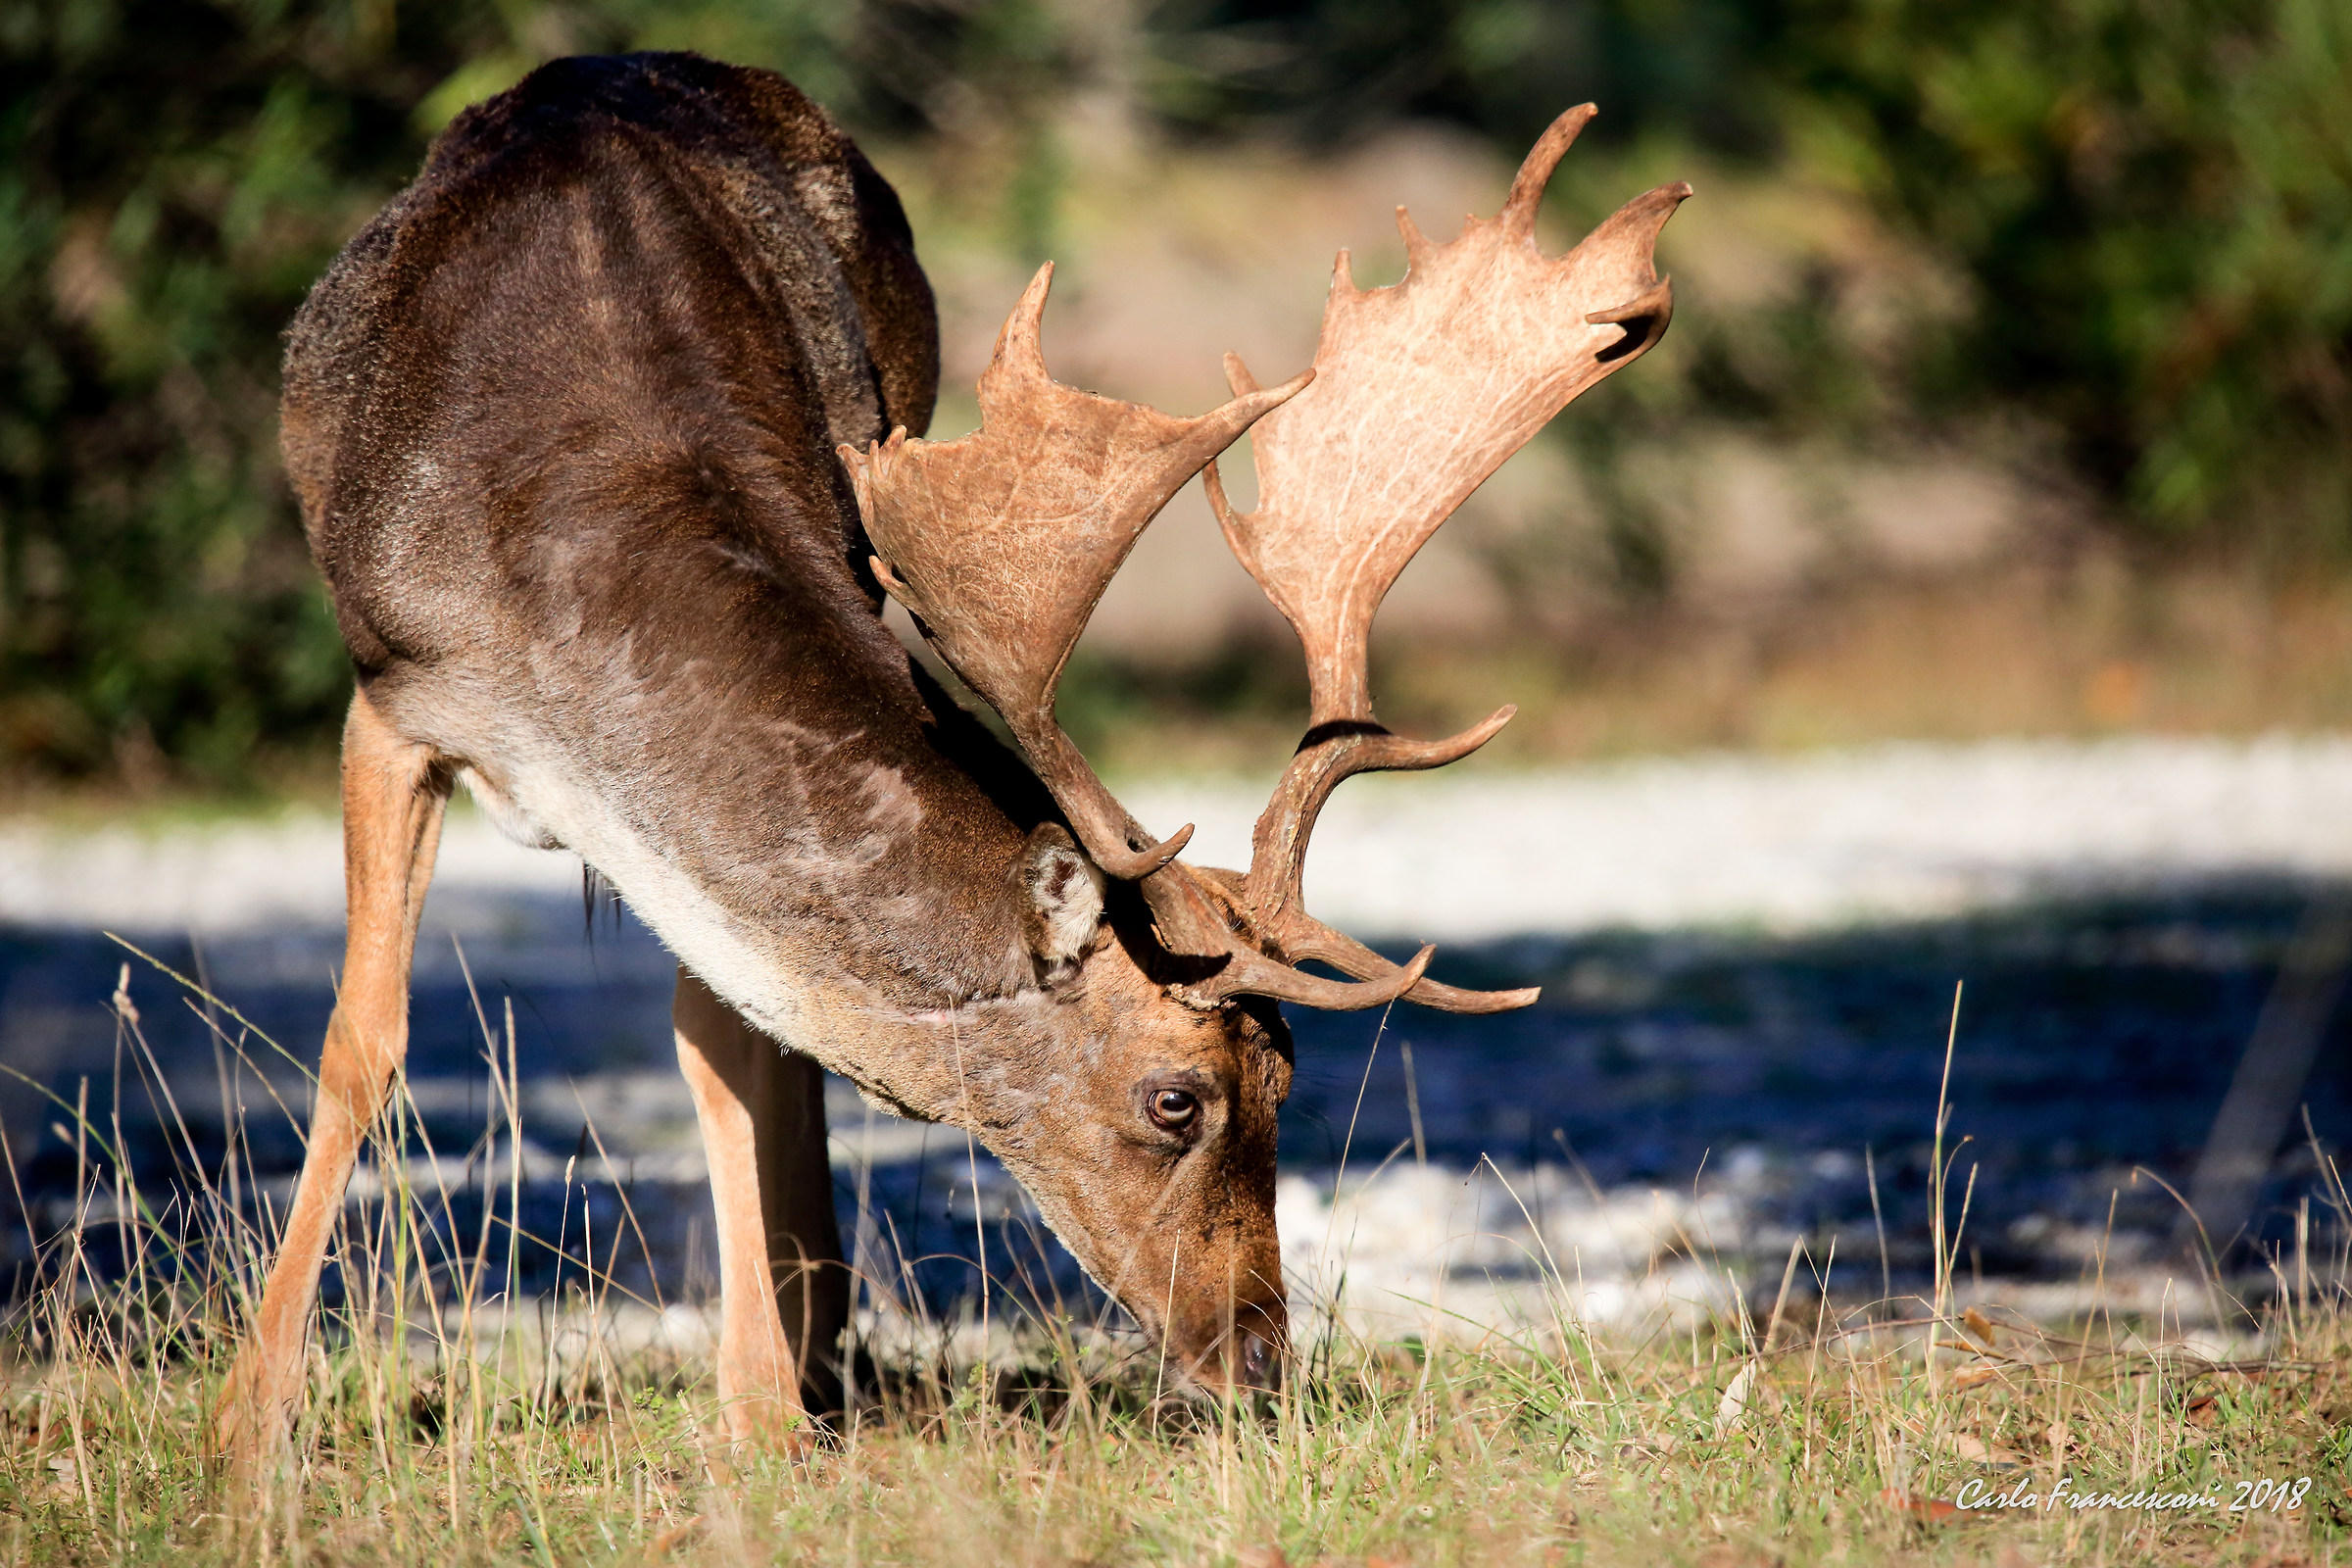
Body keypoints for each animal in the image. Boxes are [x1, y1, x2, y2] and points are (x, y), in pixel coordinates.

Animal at [210, 50, 1684, 1463]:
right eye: (1178, 1098)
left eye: (1289, 1082)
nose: (1262, 1361)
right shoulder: (396, 694)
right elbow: (361, 1042)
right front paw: (253, 1423)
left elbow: (731, 1048)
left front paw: (760, 1413)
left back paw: (814, 1353)